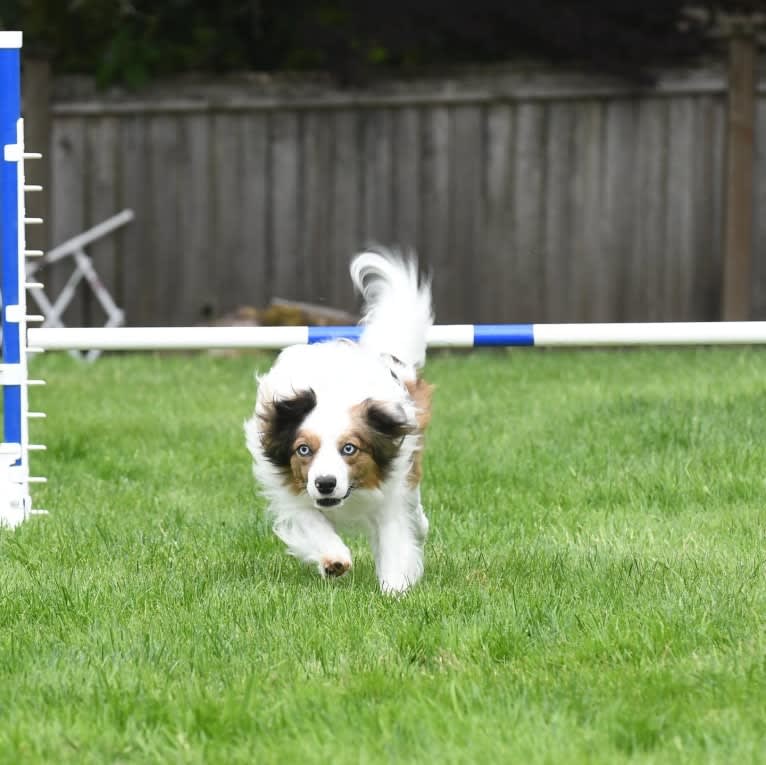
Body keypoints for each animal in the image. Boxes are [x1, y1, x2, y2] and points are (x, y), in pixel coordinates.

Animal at [244, 248, 432, 592]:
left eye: (349, 449)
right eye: (304, 450)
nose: (325, 483)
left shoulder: (391, 493)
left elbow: (395, 538)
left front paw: (394, 589)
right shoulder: (292, 491)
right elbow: (311, 521)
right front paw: (333, 559)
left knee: (415, 507)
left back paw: (421, 525)